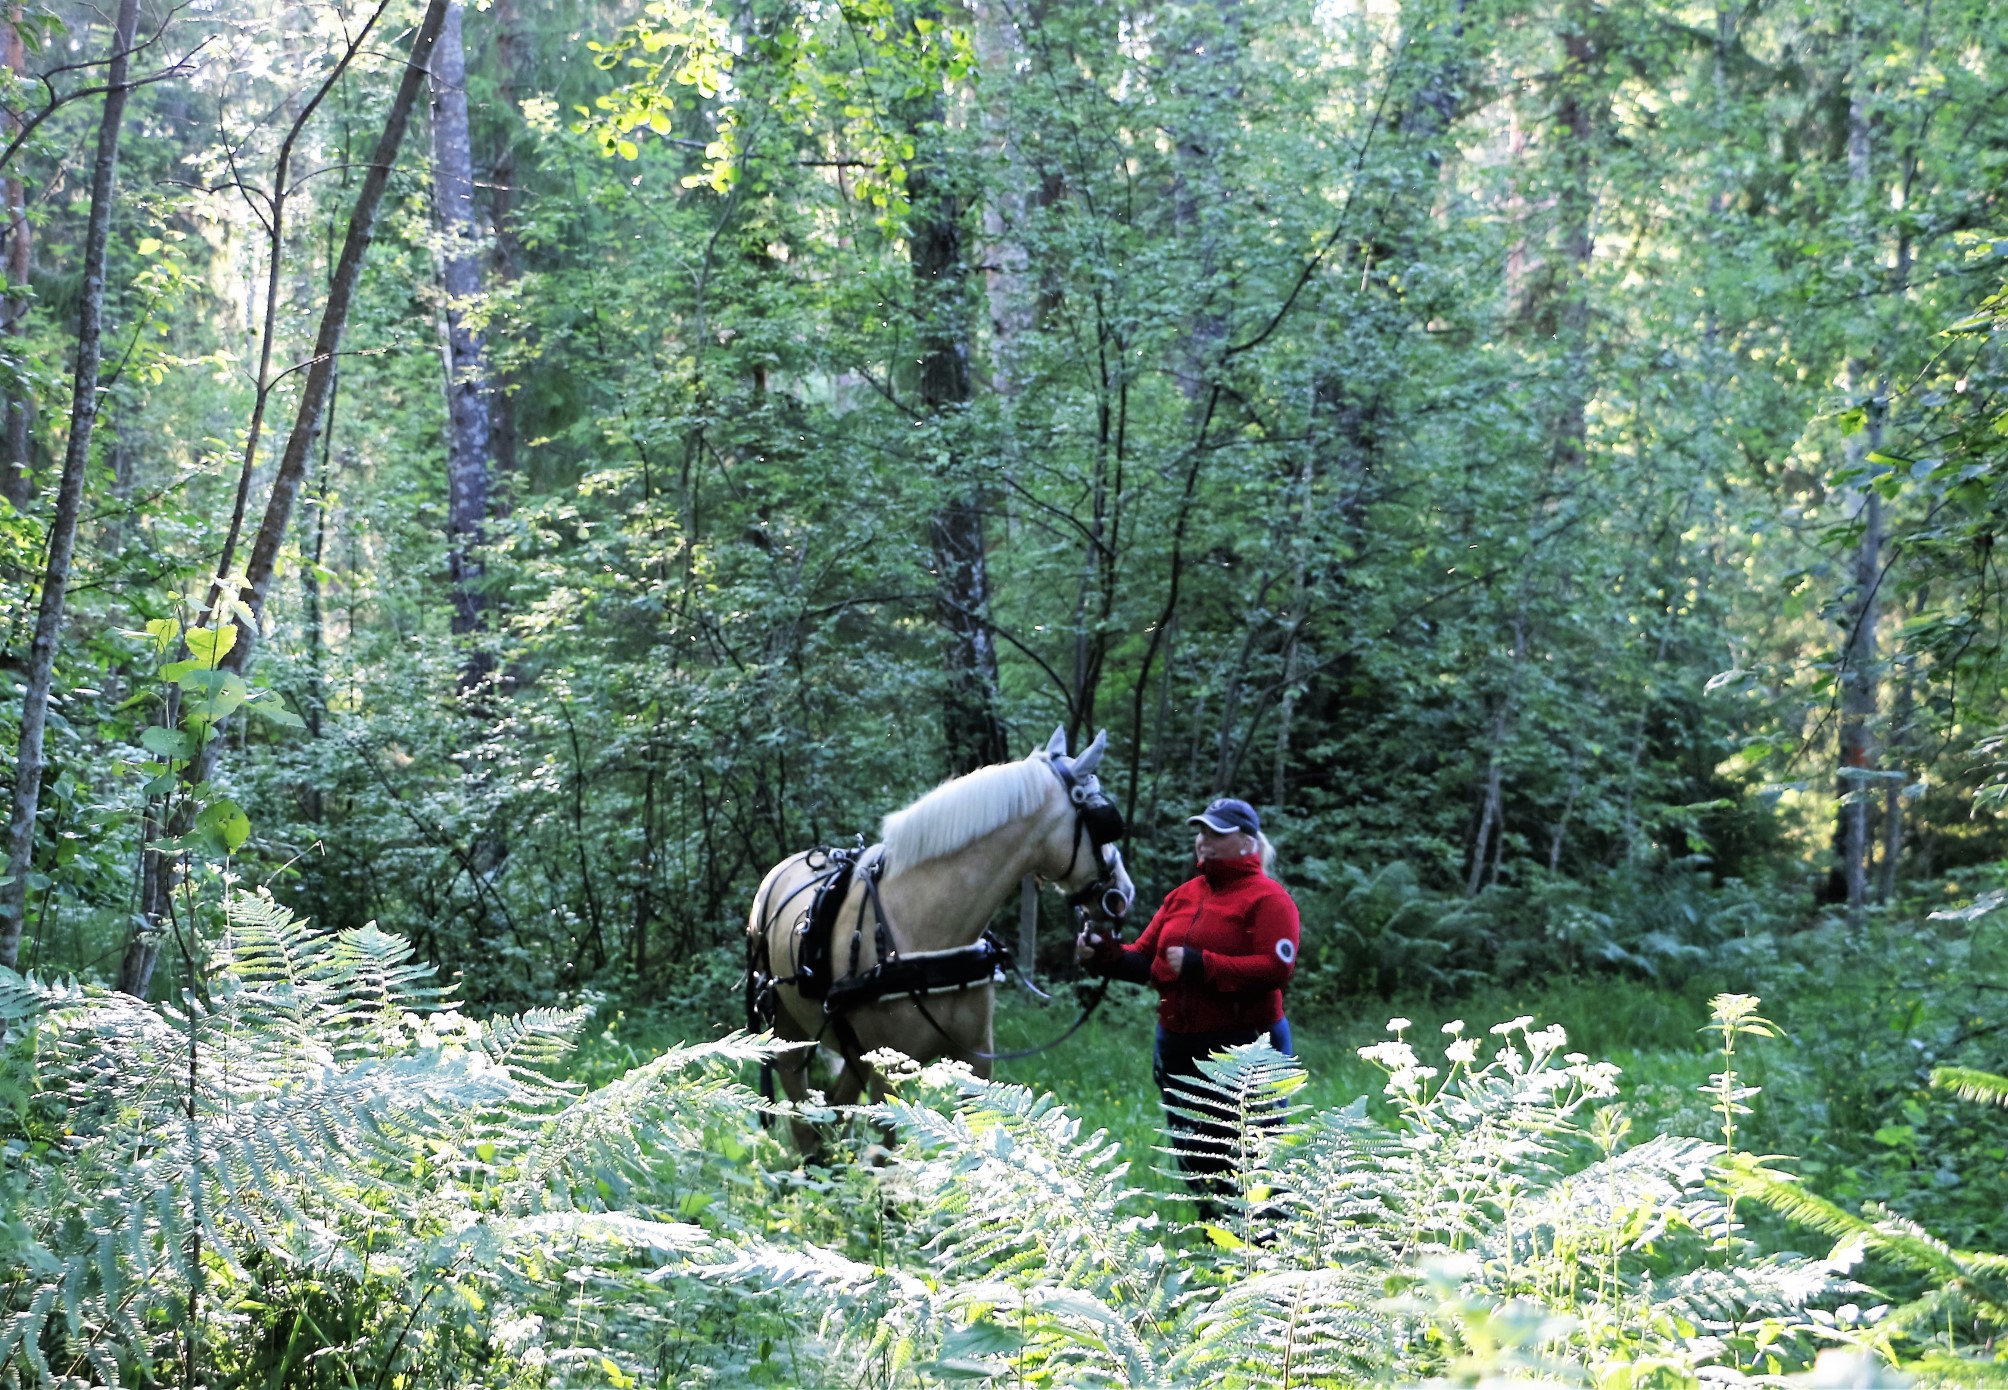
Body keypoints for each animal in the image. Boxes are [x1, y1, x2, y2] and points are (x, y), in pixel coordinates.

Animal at [750, 727, 1140, 1140]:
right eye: (1106, 821)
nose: (1123, 893)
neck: (931, 933)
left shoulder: (974, 1058)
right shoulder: (888, 1071)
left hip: (853, 1052)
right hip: (790, 1033)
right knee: (801, 1112)